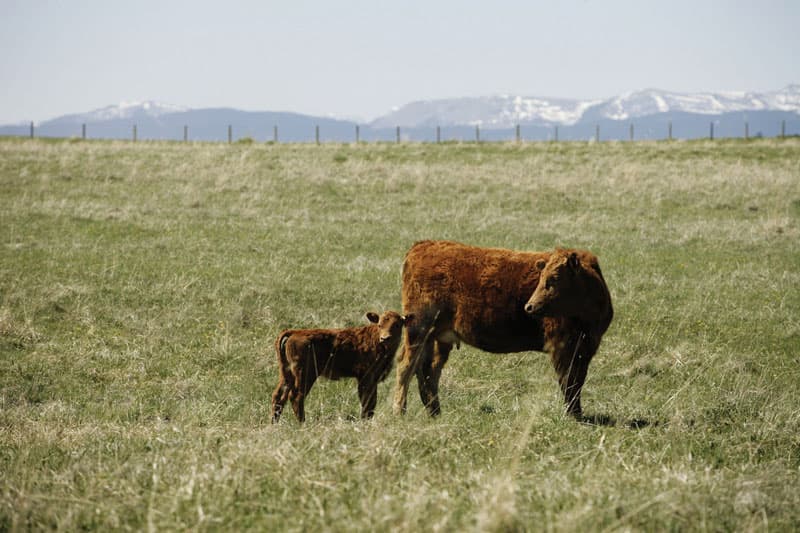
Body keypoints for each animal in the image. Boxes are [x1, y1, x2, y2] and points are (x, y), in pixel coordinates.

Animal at [272, 311, 413, 423]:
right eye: (380, 325)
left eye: (397, 325)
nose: (385, 338)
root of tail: (295, 332)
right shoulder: (366, 378)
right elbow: (367, 402)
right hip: (305, 374)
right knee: (296, 396)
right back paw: (302, 423)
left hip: (286, 374)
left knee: (279, 396)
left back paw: (275, 423)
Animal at [393, 240, 613, 419]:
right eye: (543, 278)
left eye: (555, 278)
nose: (529, 306)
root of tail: (423, 245)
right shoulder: (561, 346)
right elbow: (568, 381)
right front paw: (573, 415)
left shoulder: (586, 348)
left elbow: (578, 381)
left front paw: (578, 413)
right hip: (418, 329)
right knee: (406, 366)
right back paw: (399, 411)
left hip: (439, 338)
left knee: (429, 371)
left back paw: (435, 412)